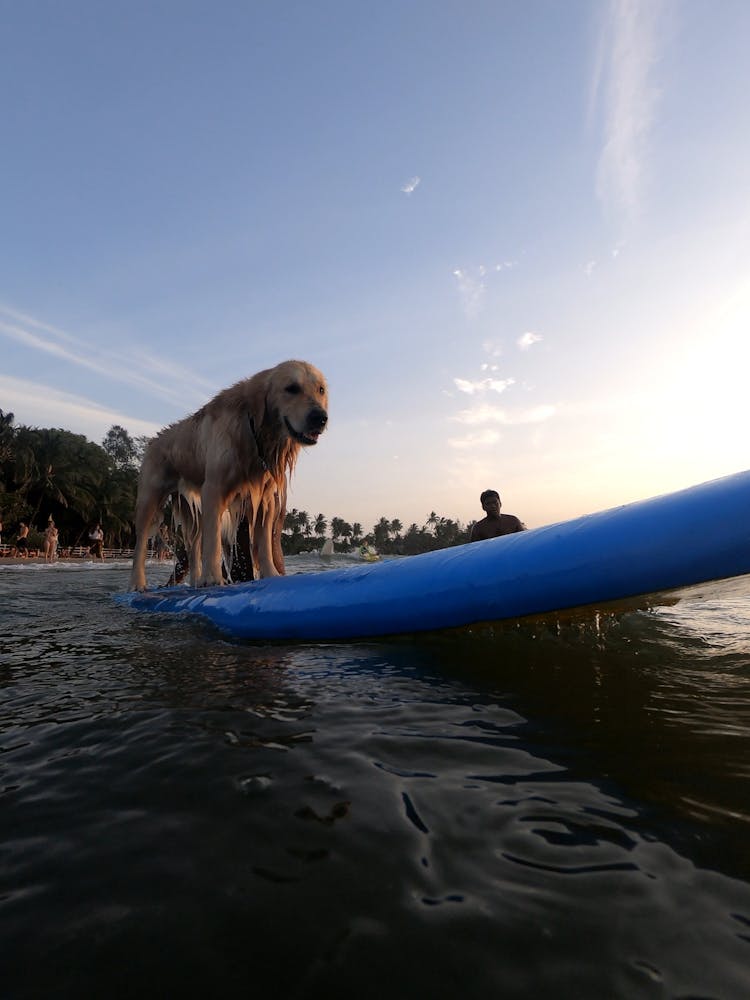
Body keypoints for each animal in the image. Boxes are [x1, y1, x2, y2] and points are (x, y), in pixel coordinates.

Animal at [129, 360, 328, 588]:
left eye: (320, 390)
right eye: (292, 388)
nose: (320, 418)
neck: (253, 431)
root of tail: (153, 440)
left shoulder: (265, 498)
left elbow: (264, 544)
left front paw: (271, 574)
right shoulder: (213, 489)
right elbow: (213, 541)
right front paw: (213, 578)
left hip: (191, 509)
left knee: (193, 546)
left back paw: (195, 581)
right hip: (149, 501)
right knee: (140, 544)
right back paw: (137, 583)